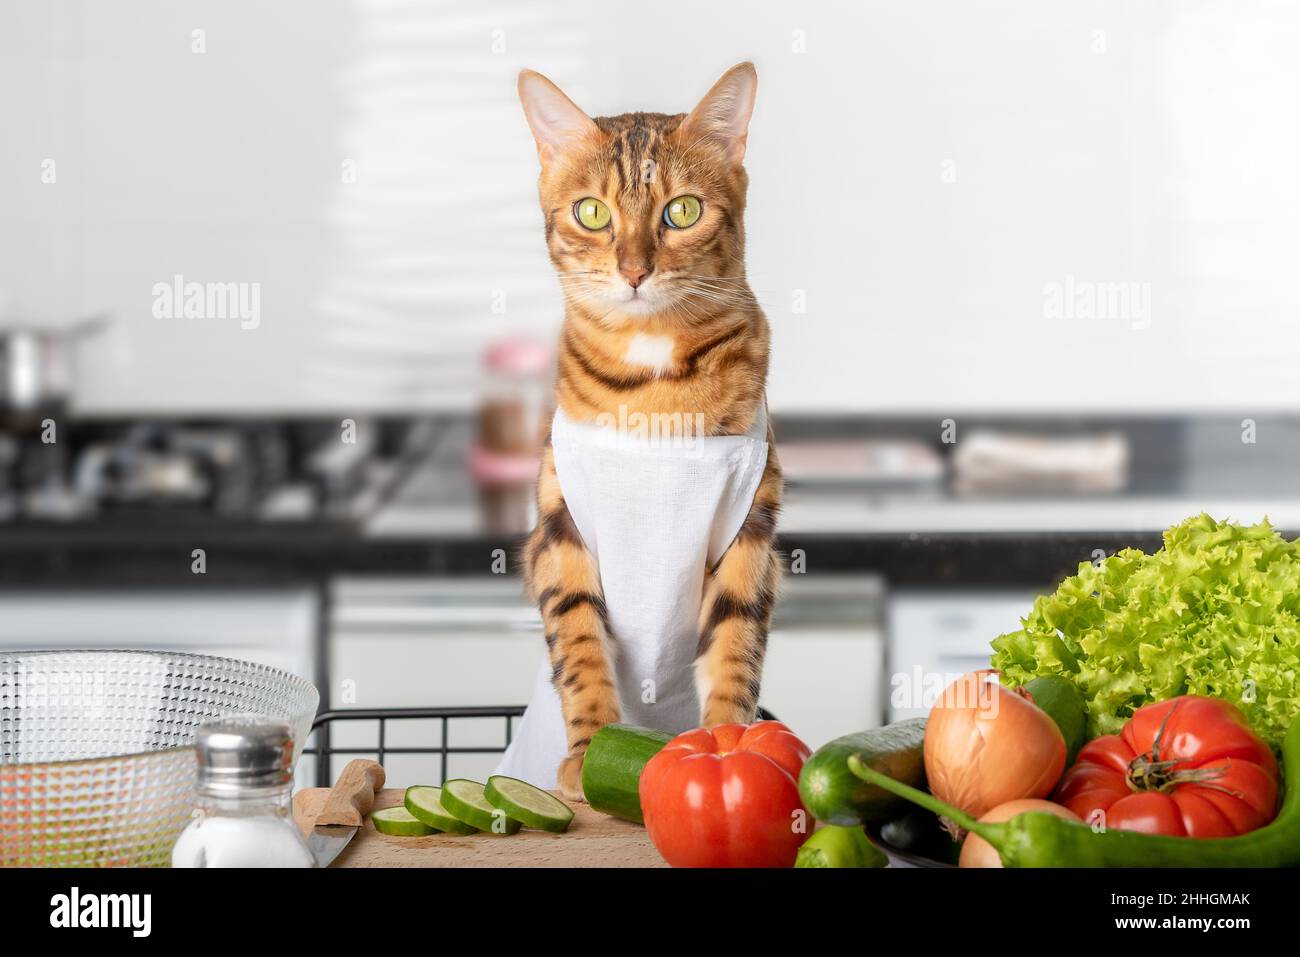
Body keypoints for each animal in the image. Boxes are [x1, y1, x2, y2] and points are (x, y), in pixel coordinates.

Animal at [517, 61, 780, 800]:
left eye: (682, 211)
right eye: (592, 212)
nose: (634, 271)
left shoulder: (751, 527)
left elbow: (735, 646)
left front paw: (728, 744)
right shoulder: (560, 524)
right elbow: (578, 640)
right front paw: (589, 753)